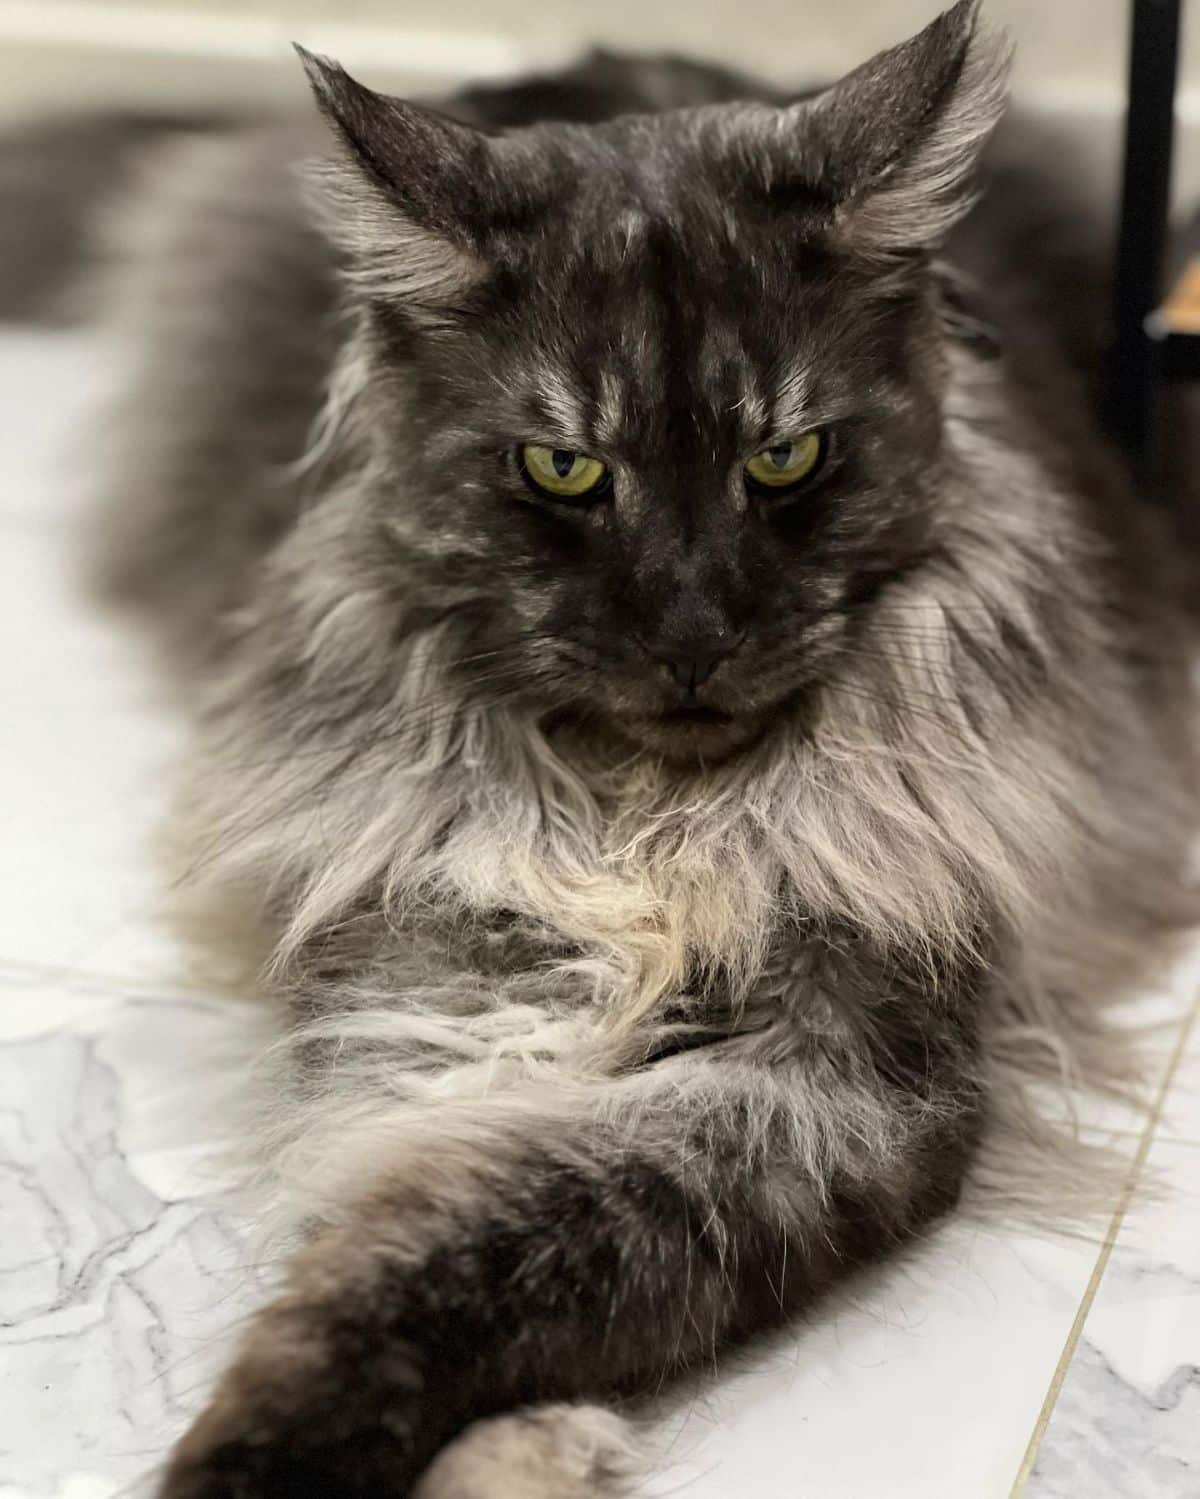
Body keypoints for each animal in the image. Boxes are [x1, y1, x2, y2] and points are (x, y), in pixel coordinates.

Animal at [67, 0, 1198, 1493]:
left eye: (787, 461)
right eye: (565, 471)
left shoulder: (843, 1068)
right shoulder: (430, 966)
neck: (644, 811)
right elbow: (418, 1190)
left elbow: (531, 1236)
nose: (692, 635)